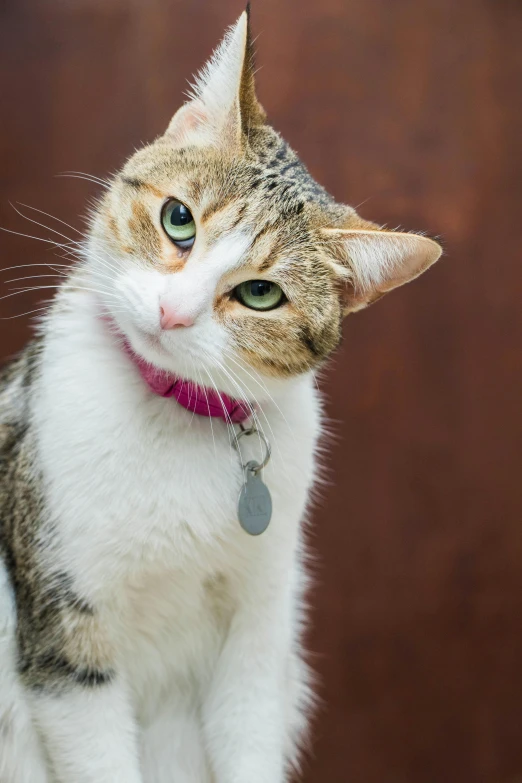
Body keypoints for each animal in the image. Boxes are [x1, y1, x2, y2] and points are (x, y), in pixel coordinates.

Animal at [0, 7, 440, 783]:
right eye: (178, 218)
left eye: (261, 294)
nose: (173, 313)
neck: (175, 412)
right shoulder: (64, 629)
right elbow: (96, 747)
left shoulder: (262, 622)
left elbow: (248, 726)